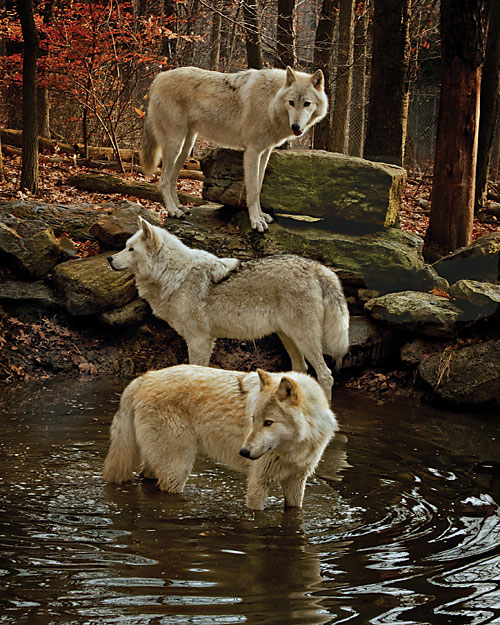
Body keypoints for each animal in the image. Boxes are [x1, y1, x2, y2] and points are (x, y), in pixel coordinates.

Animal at [101, 364, 338, 510]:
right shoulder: (257, 483)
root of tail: (143, 378)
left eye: (268, 422)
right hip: (177, 469)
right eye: (253, 419)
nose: (243, 451)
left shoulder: (296, 481)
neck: (294, 448)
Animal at [107, 217, 350, 398]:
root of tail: (320, 268)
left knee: (326, 374)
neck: (173, 274)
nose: (109, 258)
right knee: (301, 372)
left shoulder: (199, 340)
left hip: (303, 338)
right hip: (288, 337)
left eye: (130, 249)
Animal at [141, 66, 330, 232]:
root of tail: (159, 77)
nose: (295, 126)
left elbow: (258, 187)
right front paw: (256, 222)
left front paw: (261, 216)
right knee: (163, 182)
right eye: (291, 103)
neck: (271, 101)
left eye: (306, 104)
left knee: (172, 180)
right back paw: (173, 210)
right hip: (175, 145)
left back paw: (180, 207)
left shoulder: (265, 153)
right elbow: (252, 191)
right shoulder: (252, 152)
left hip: (185, 149)